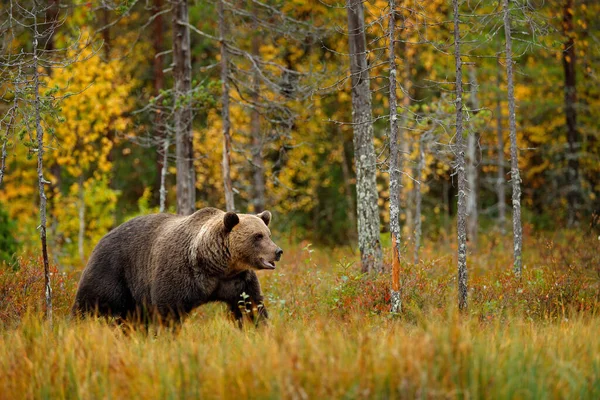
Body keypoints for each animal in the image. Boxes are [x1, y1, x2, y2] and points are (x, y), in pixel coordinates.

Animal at [71, 208, 282, 326]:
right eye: (257, 236)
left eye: (268, 233)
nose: (278, 251)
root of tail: (101, 238)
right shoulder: (181, 274)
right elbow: (169, 310)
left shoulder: (237, 280)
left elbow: (250, 305)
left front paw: (258, 326)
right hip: (113, 271)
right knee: (90, 303)